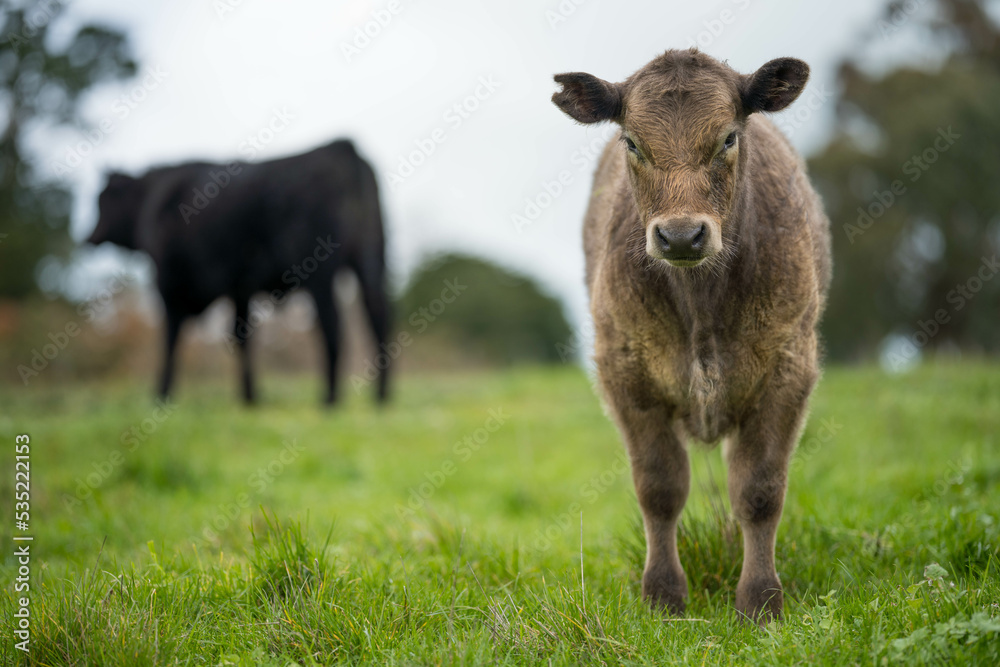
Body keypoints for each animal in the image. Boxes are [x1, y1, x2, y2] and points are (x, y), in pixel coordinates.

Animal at [87, 139, 390, 406]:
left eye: (103, 200)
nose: (89, 237)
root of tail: (341, 147)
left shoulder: (168, 285)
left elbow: (170, 337)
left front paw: (161, 394)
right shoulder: (240, 289)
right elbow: (241, 335)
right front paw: (249, 397)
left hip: (321, 272)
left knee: (334, 326)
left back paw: (329, 399)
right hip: (373, 258)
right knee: (379, 318)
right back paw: (381, 398)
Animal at [552, 49, 832, 623]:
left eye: (728, 137)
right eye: (632, 142)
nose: (681, 235)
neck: (701, 309)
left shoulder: (789, 368)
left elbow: (759, 490)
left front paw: (760, 600)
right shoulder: (625, 375)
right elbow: (660, 487)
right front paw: (662, 595)